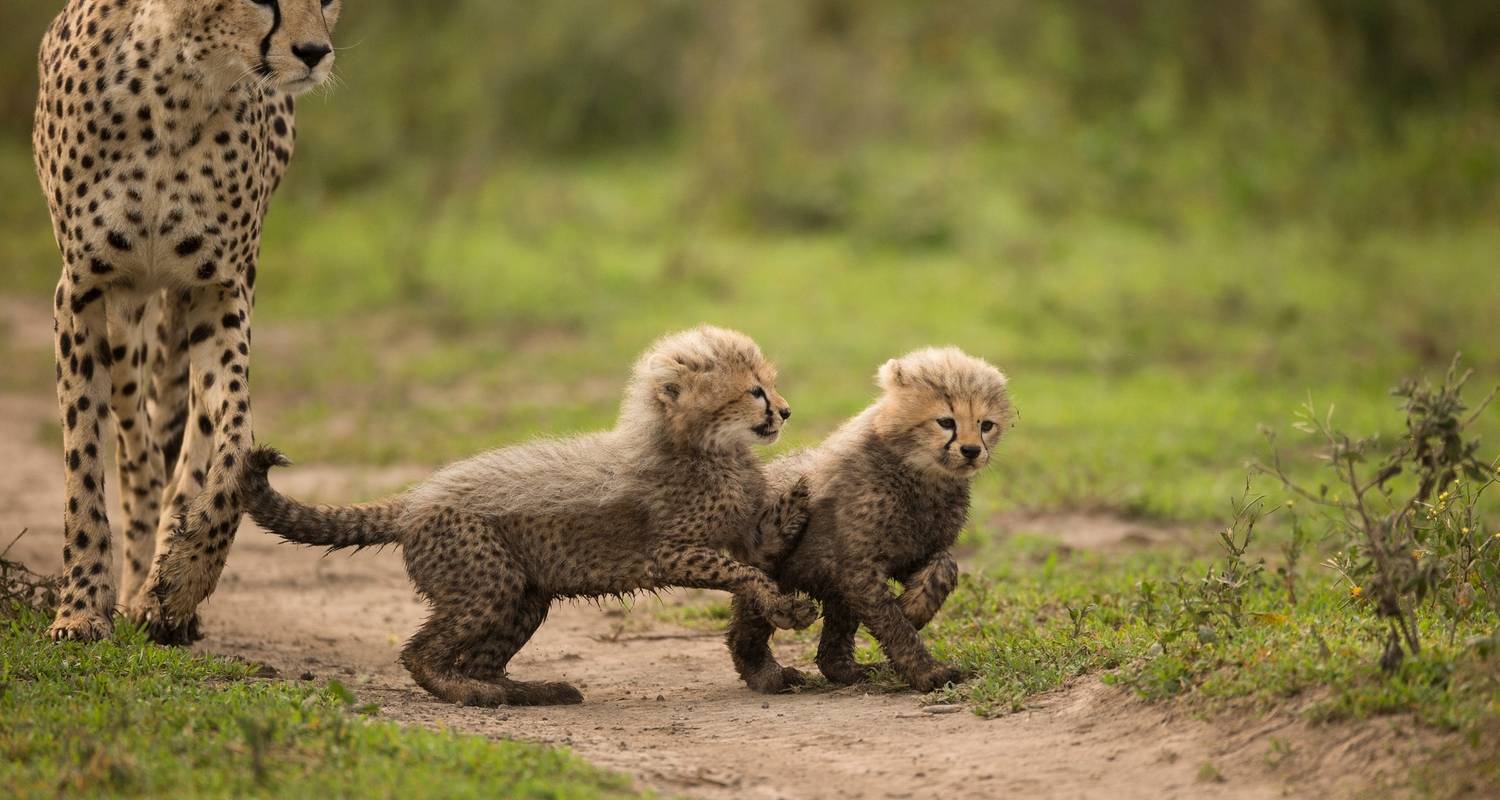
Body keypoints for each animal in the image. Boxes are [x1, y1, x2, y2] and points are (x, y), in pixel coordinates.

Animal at [33, 0, 343, 636]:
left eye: (327, 0)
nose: (314, 53)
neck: (178, 90)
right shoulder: (81, 290)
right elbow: (83, 460)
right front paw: (81, 608)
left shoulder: (220, 290)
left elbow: (231, 441)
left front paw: (184, 577)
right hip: (128, 312)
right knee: (137, 444)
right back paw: (130, 583)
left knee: (187, 443)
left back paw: (158, 589)